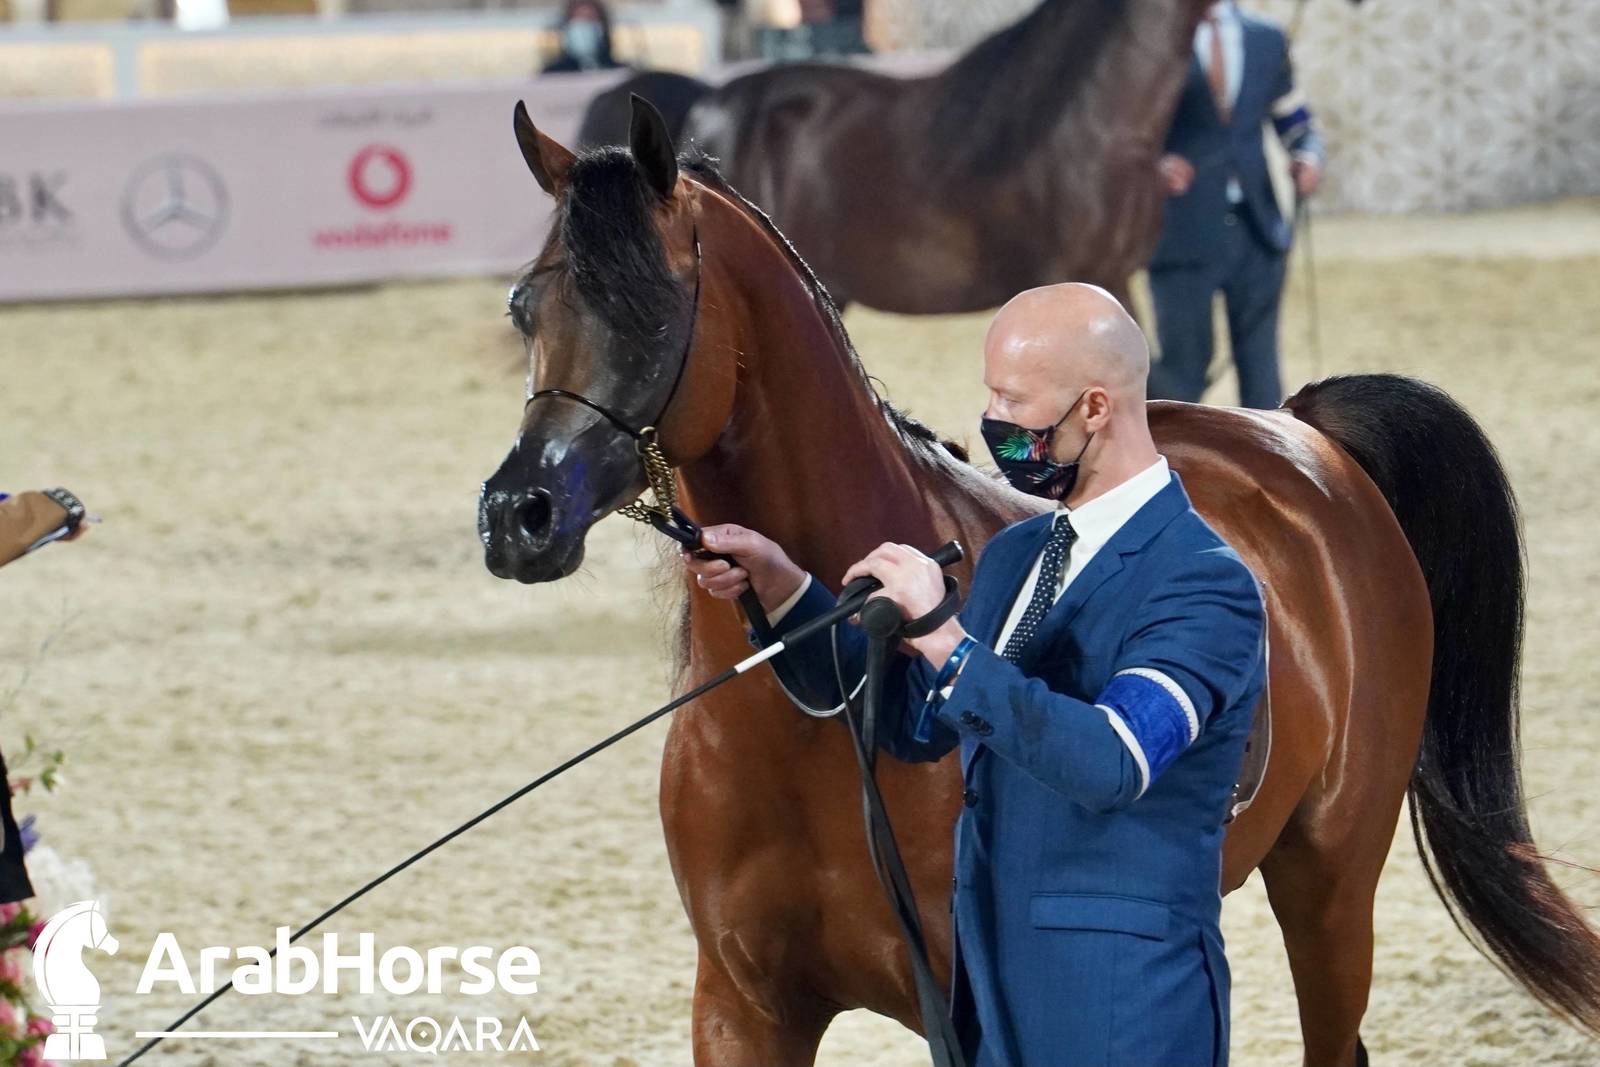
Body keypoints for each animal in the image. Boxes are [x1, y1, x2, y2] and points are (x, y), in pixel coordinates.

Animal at [478, 100, 1600, 1066]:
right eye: (524, 305)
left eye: (652, 308)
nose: (517, 514)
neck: (812, 720)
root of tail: (1305, 438)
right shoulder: (743, 1003)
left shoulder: (967, 1007)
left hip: (1329, 882)